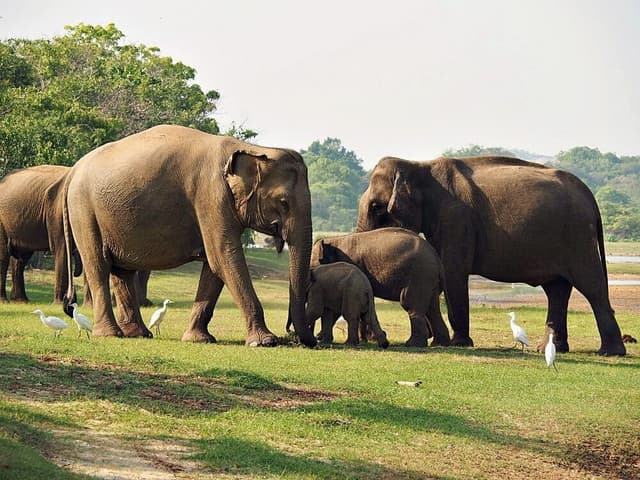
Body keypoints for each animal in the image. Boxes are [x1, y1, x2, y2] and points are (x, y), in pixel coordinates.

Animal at [0, 165, 75, 303]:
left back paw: (21, 301)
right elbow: (61, 249)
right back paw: (5, 301)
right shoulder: (56, 213)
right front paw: (60, 303)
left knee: (21, 258)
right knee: (4, 255)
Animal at [61, 124, 316, 347]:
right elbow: (224, 257)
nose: (303, 340)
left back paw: (138, 334)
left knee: (121, 271)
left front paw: (199, 339)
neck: (251, 148)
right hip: (84, 211)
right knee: (98, 265)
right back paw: (110, 334)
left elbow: (214, 265)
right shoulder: (210, 195)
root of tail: (73, 171)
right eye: (283, 202)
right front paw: (264, 342)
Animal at [306, 228, 451, 347]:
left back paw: (413, 344)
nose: (315, 337)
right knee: (432, 308)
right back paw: (440, 344)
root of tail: (437, 259)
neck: (334, 241)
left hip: (419, 275)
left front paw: (320, 337)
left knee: (411, 305)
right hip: (428, 279)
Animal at [356, 155, 626, 356]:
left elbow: (453, 272)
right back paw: (548, 349)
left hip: (578, 238)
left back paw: (609, 352)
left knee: (591, 287)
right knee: (557, 289)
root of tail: (589, 195)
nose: (376, 339)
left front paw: (459, 344)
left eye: (376, 206)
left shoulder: (457, 220)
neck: (419, 165)